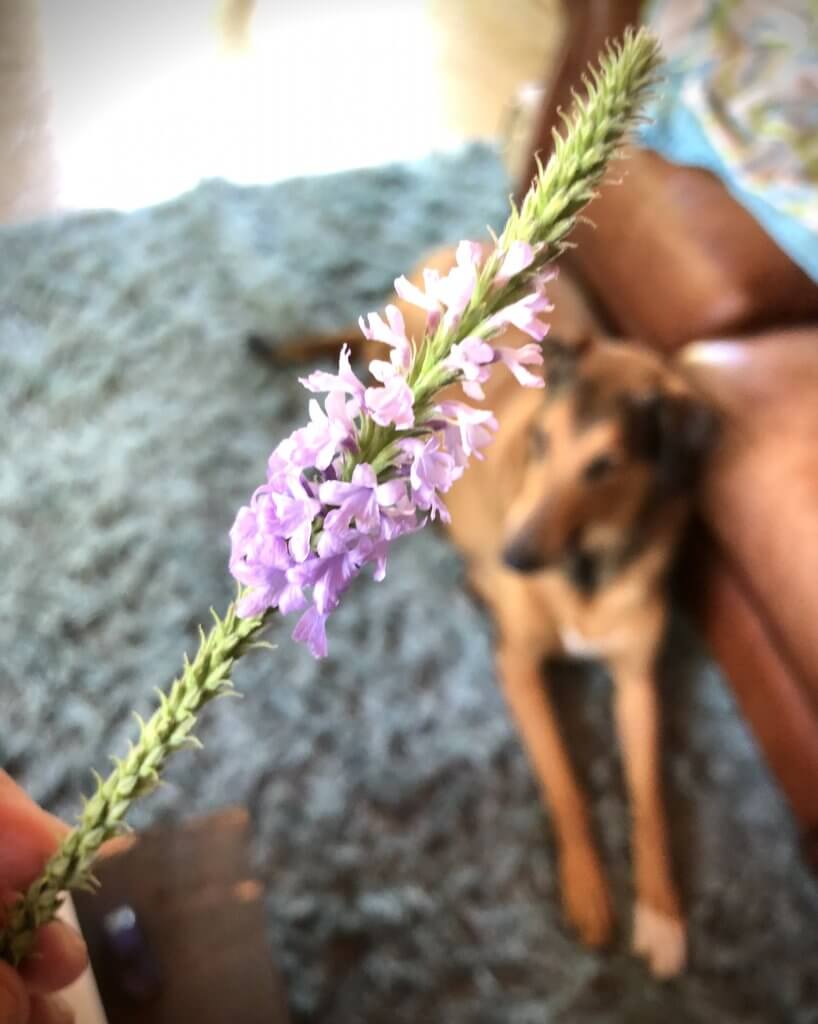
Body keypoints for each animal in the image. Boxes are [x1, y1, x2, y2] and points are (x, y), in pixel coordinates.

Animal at [259, 245, 720, 974]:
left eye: (605, 466)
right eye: (540, 442)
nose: (514, 558)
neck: (584, 573)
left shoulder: (638, 679)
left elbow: (650, 798)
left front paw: (660, 912)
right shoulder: (518, 665)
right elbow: (565, 781)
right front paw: (589, 890)